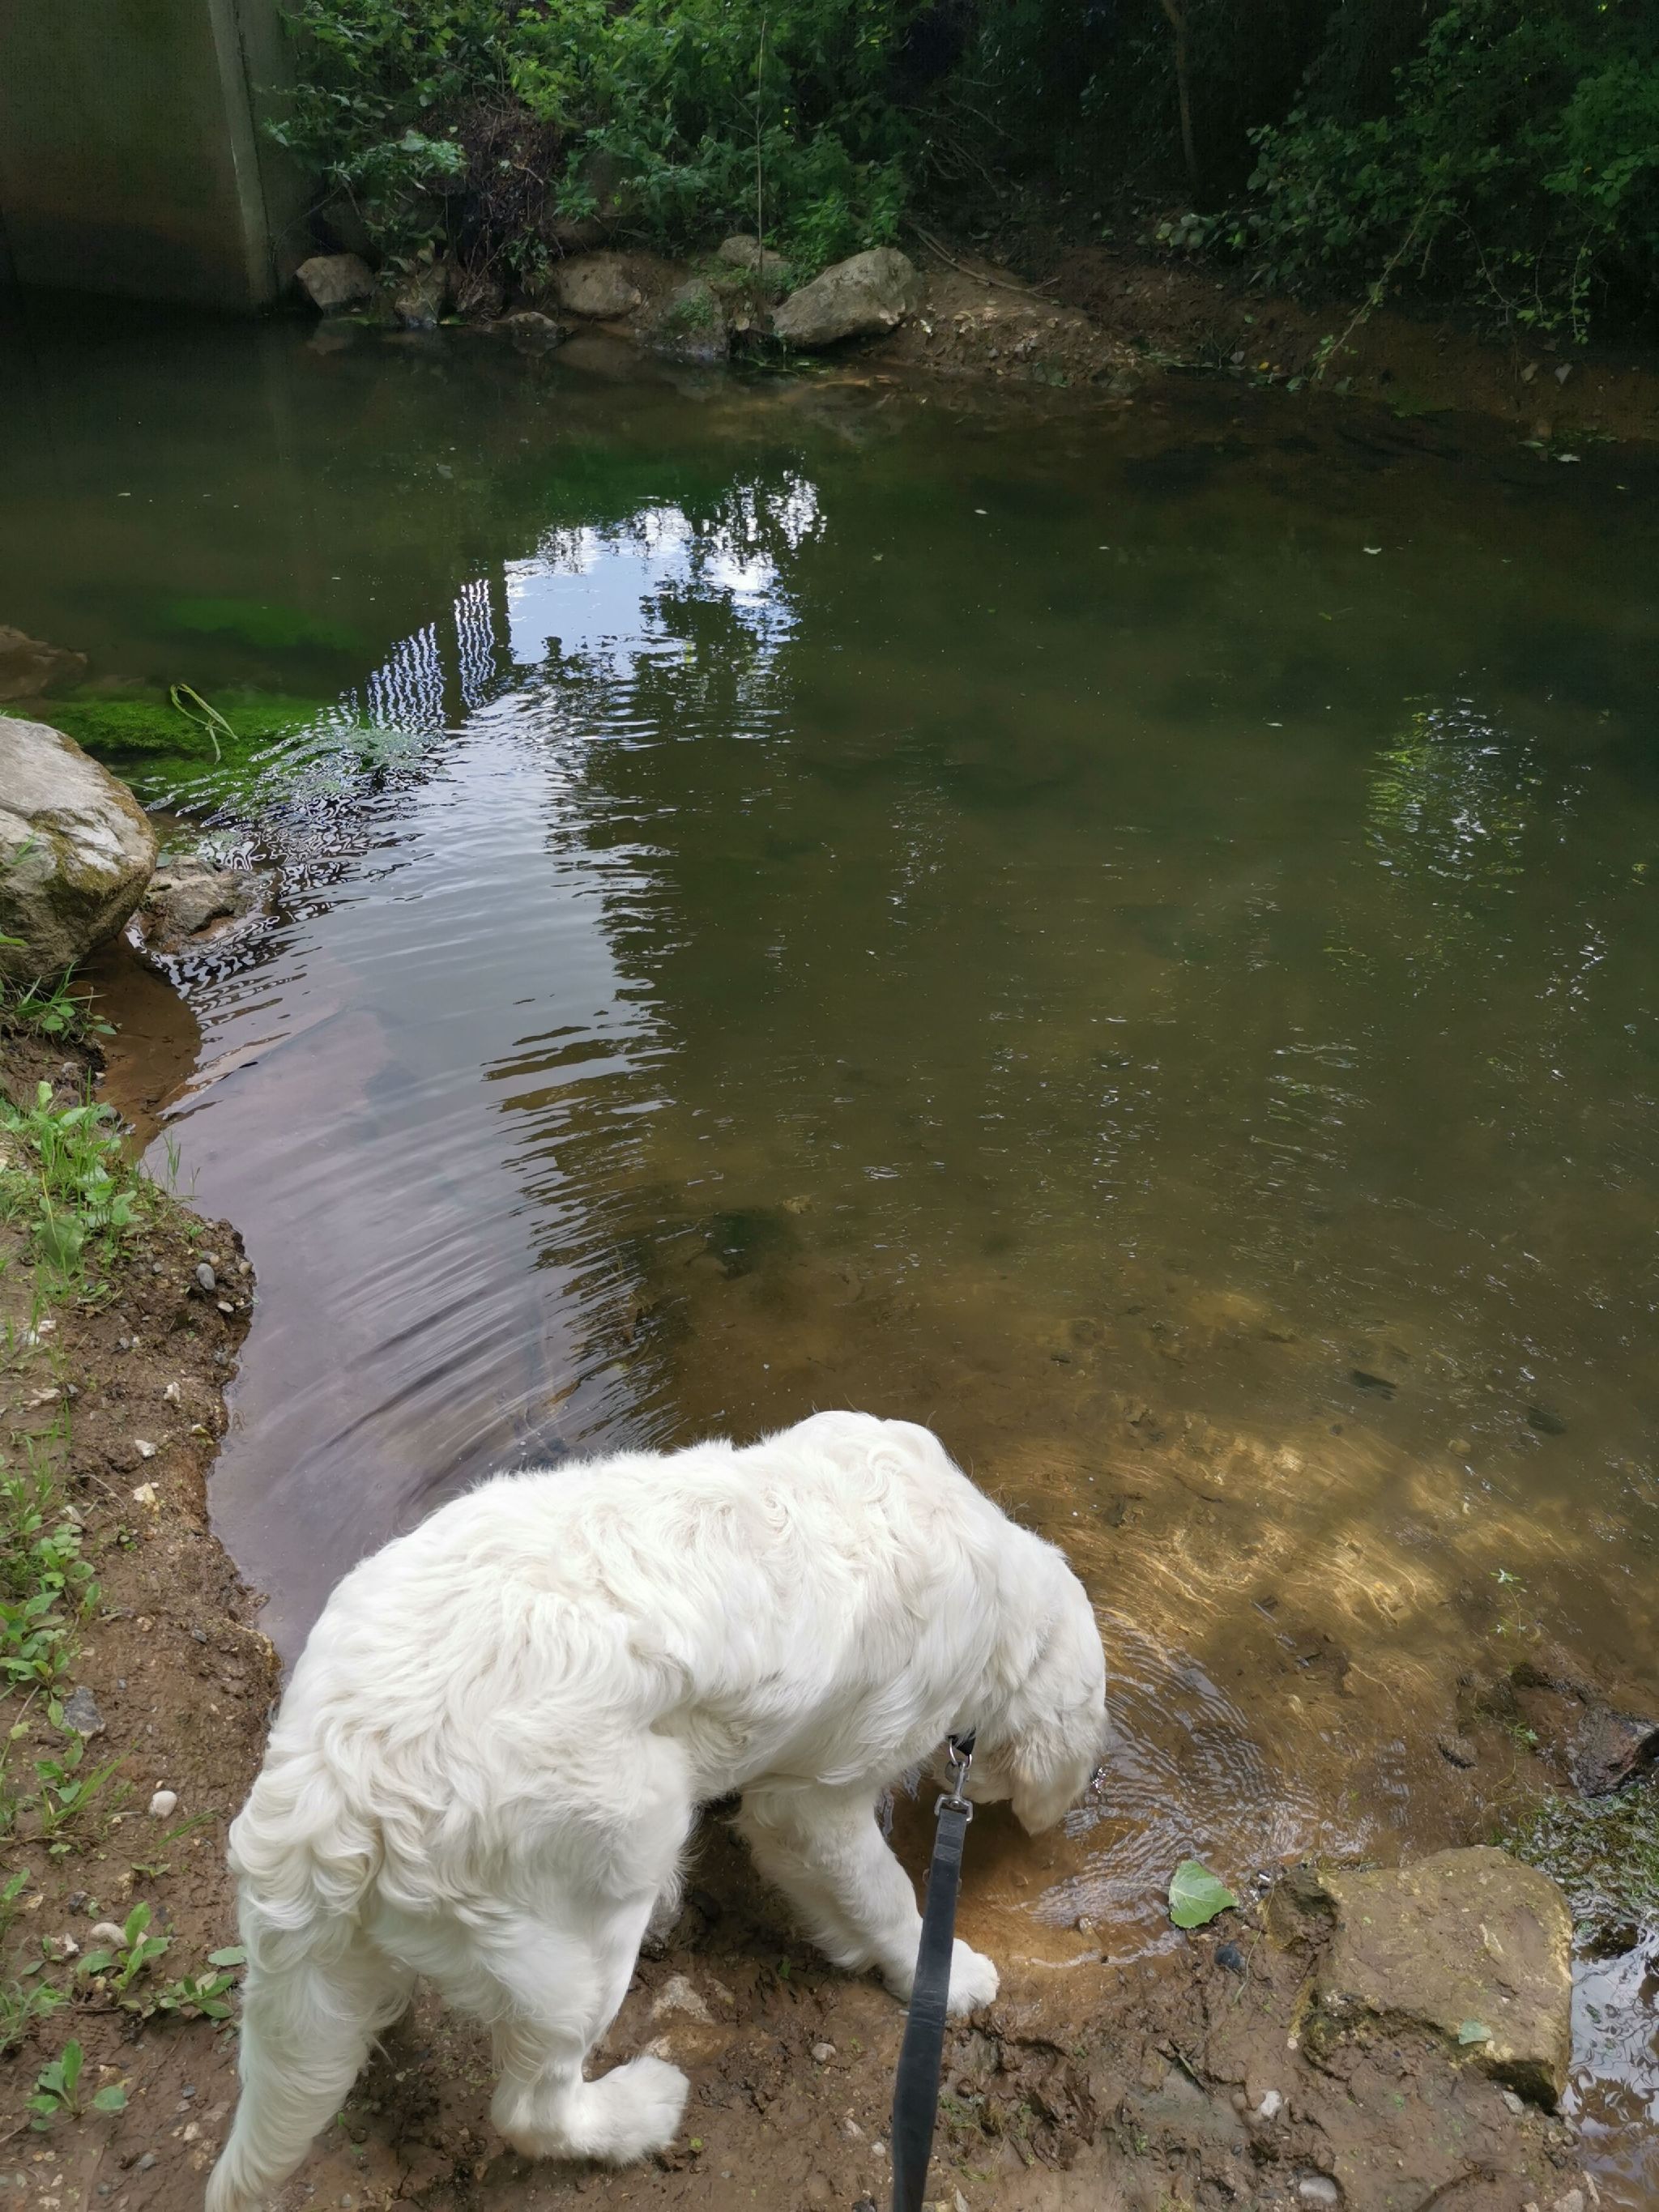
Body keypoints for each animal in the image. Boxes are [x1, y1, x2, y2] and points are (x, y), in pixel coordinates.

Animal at [206, 1411, 1107, 2212]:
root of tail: (330, 1769)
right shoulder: (815, 1802)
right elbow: (882, 1894)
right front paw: (945, 1976)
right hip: (601, 1888)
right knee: (529, 2111)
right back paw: (639, 2111)